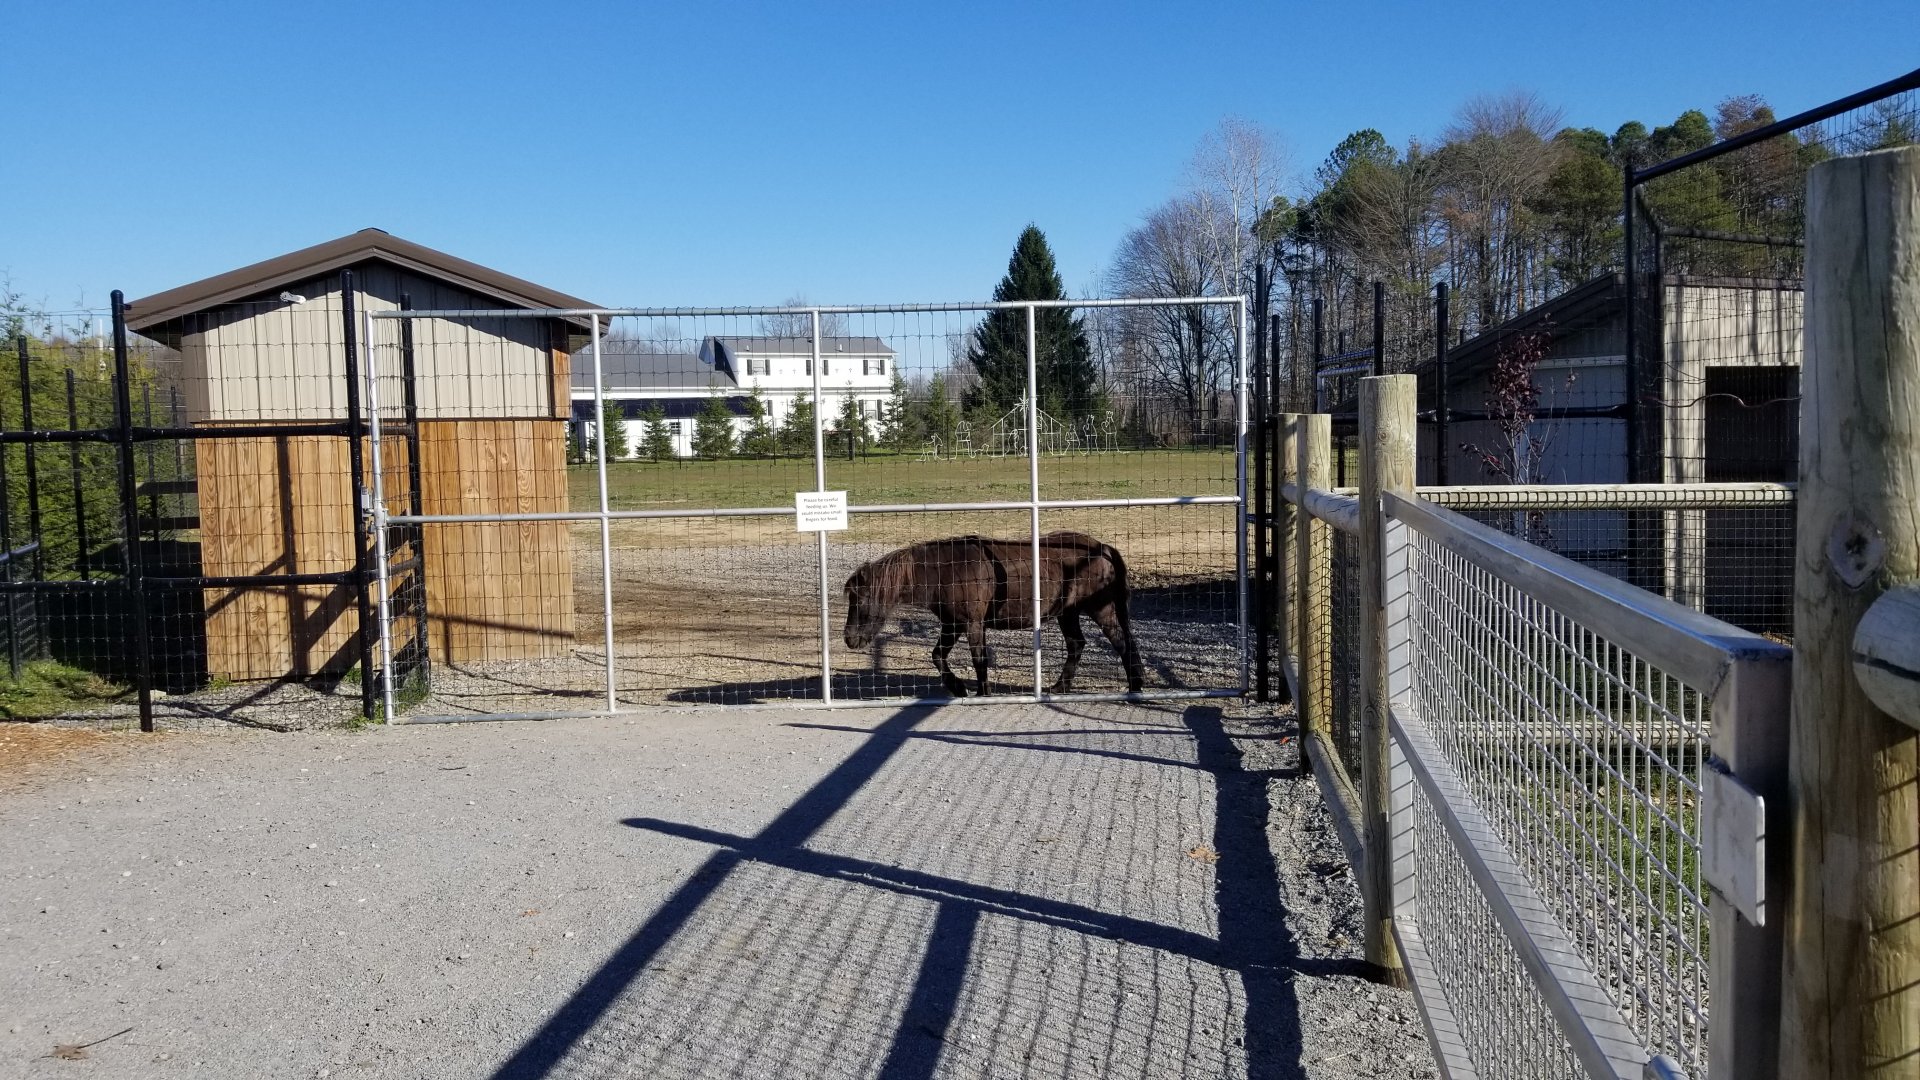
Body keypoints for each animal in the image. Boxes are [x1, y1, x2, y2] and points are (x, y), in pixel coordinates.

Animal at [842, 530, 1146, 697]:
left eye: (860, 598)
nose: (849, 639)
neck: (944, 571)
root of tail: (1102, 548)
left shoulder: (972, 624)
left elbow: (979, 659)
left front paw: (981, 692)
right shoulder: (952, 625)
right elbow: (938, 656)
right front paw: (959, 688)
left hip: (1100, 609)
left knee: (1121, 643)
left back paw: (1135, 685)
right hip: (1067, 614)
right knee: (1077, 645)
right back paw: (1061, 687)